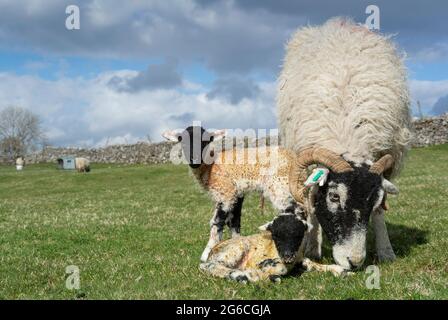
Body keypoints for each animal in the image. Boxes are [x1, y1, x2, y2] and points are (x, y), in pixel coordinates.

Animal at [200, 212, 346, 282]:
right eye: (275, 235)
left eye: (299, 235)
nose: (287, 256)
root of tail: (213, 250)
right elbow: (279, 268)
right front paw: (261, 272)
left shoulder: (298, 258)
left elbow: (309, 262)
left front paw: (338, 269)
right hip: (234, 250)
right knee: (209, 266)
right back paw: (241, 276)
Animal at [278, 16, 412, 268]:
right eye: (334, 196)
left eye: (374, 199)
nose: (355, 261)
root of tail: (339, 23)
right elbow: (310, 199)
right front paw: (312, 247)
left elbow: (380, 214)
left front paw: (386, 251)